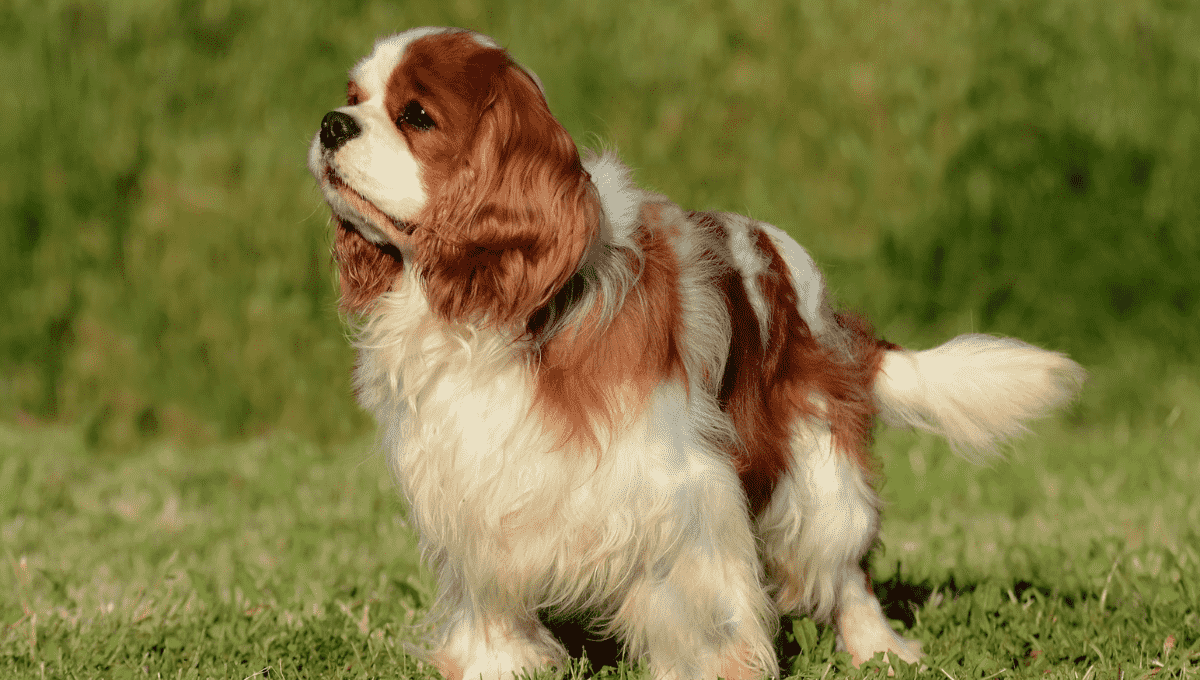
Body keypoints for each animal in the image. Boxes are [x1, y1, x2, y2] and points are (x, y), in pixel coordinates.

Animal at [304, 27, 1084, 680]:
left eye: (416, 116)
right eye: (354, 98)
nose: (330, 123)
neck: (502, 313)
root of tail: (825, 306)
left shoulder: (680, 487)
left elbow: (703, 608)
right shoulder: (471, 485)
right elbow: (491, 599)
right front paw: (496, 665)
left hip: (814, 470)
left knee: (847, 569)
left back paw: (881, 650)